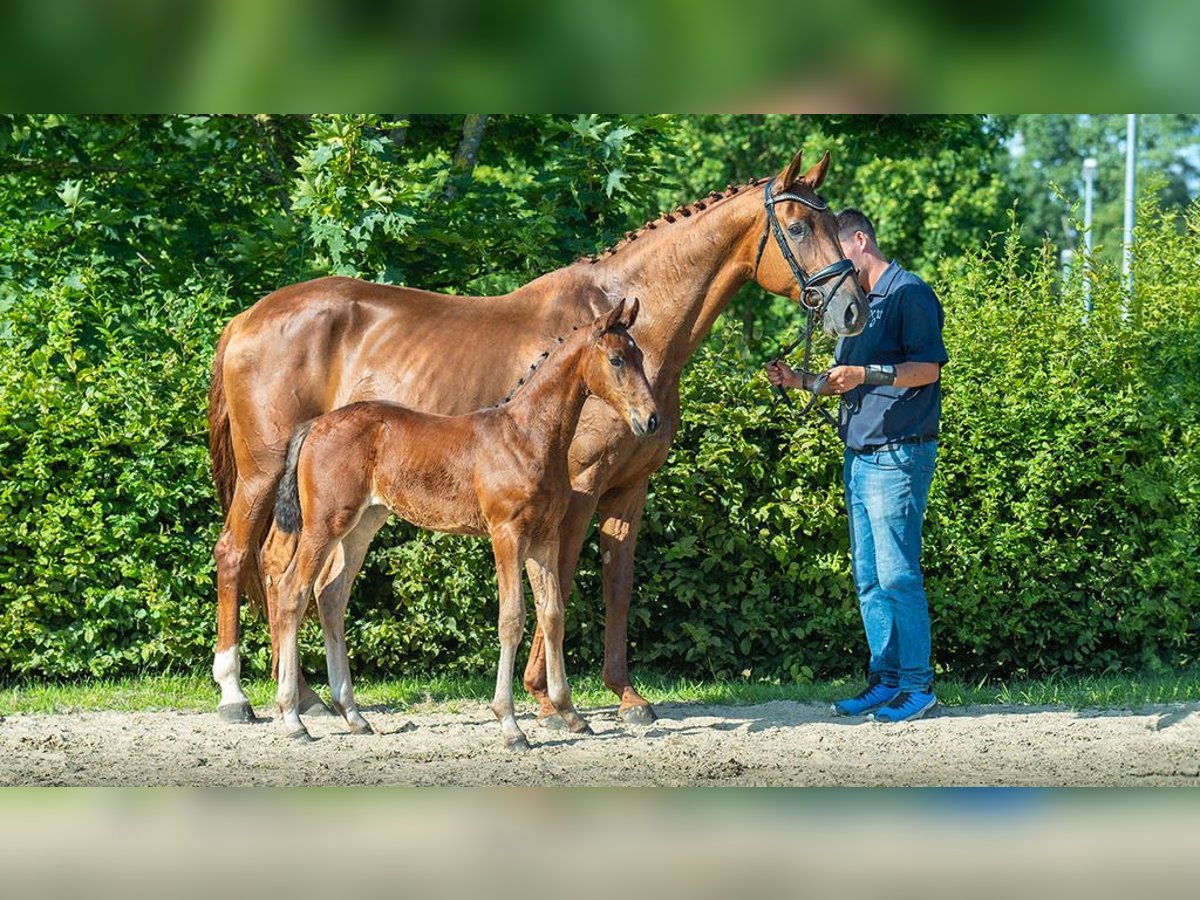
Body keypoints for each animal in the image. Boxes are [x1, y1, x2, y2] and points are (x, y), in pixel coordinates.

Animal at [261, 297, 657, 748]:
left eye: (641, 357)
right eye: (616, 359)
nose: (651, 420)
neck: (528, 437)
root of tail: (314, 425)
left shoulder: (544, 539)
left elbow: (553, 614)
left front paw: (570, 714)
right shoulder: (507, 534)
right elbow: (512, 618)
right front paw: (510, 724)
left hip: (361, 525)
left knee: (330, 595)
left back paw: (354, 715)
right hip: (324, 524)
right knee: (293, 590)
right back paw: (293, 718)